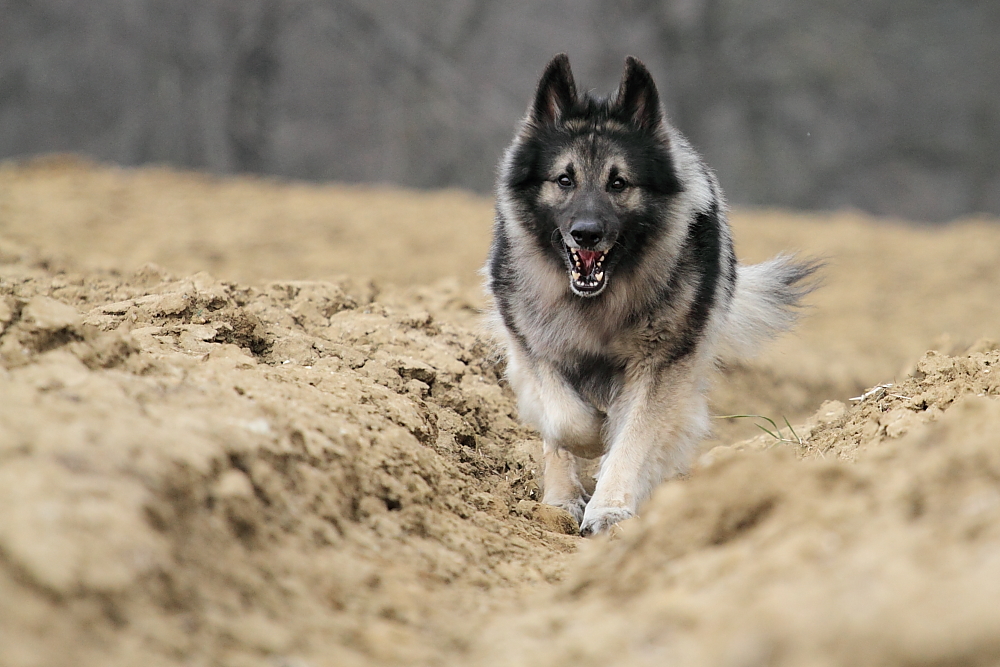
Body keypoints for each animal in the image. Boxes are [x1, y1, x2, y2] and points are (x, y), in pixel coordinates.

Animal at [484, 54, 820, 540]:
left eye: (618, 183)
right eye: (564, 179)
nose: (587, 233)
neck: (597, 300)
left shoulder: (659, 365)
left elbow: (633, 436)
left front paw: (609, 507)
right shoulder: (536, 348)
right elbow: (566, 421)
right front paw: (584, 459)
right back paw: (560, 500)